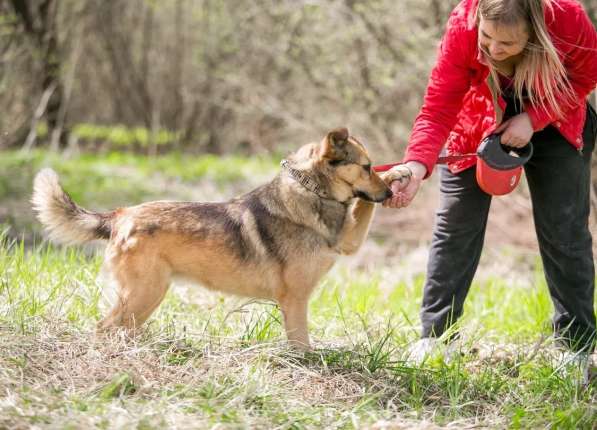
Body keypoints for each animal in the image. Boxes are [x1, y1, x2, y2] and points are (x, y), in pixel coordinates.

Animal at [33, 127, 406, 350]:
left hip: (145, 299)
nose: (389, 195)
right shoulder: (296, 300)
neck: (311, 189)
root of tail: (119, 216)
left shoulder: (349, 242)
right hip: (143, 295)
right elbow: (301, 344)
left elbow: (363, 209)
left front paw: (398, 173)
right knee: (103, 328)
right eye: (366, 167)